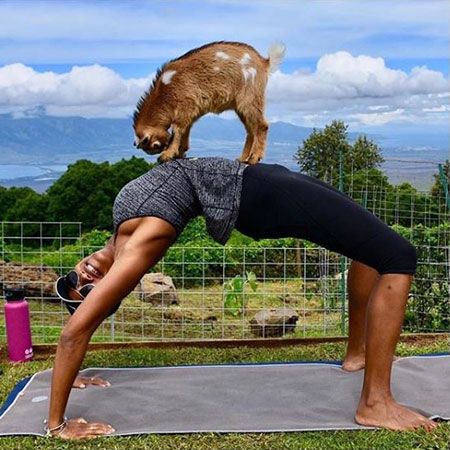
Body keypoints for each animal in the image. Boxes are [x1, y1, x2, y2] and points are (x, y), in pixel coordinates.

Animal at [134, 41, 286, 164]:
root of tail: (264, 62)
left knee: (262, 125)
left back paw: (254, 158)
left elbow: (178, 129)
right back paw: (243, 158)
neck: (165, 91)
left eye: (154, 146)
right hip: (240, 106)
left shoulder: (186, 103)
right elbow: (186, 129)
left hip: (250, 96)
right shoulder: (192, 111)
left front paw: (167, 155)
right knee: (250, 129)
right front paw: (180, 152)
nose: (164, 147)